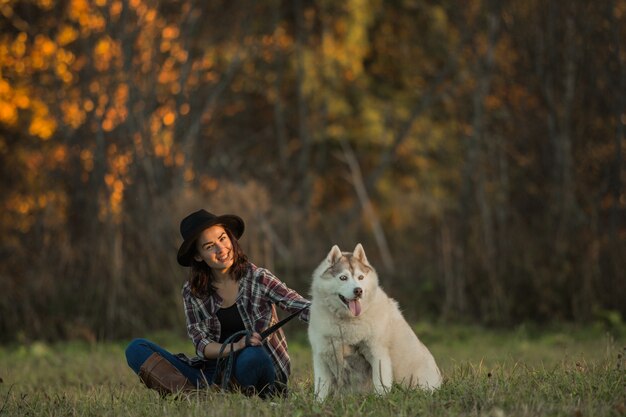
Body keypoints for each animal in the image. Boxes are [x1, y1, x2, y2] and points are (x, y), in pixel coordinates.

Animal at [306, 244, 442, 400]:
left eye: (360, 277)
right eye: (343, 278)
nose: (358, 290)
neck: (347, 321)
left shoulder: (378, 353)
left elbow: (380, 384)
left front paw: (381, 401)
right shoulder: (321, 357)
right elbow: (320, 389)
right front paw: (319, 403)